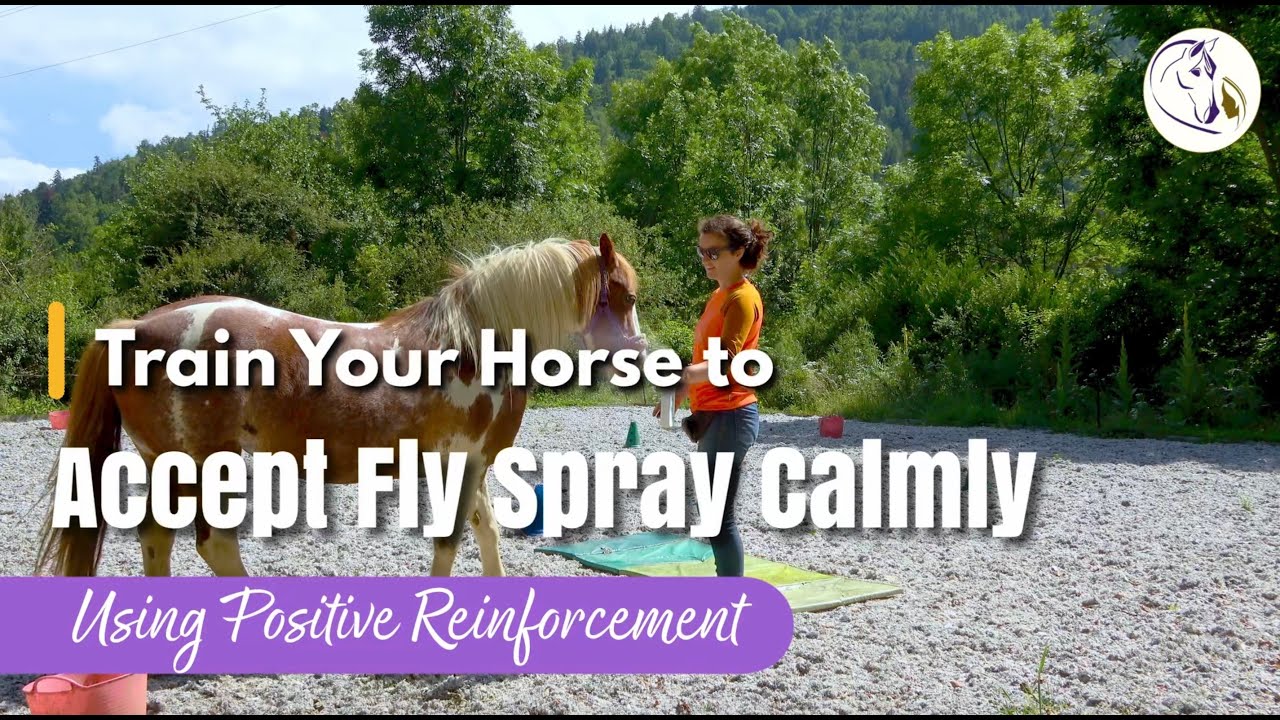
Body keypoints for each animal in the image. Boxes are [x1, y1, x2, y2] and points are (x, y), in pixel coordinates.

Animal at [34, 233, 648, 579]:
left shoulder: (465, 465)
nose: (643, 356)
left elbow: (486, 532)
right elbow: (455, 538)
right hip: (202, 465)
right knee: (210, 543)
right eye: (627, 296)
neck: (475, 343)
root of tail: (134, 327)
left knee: (159, 541)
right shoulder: (464, 461)